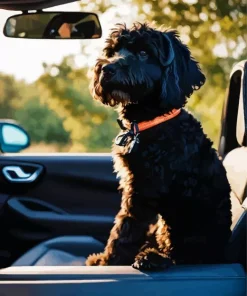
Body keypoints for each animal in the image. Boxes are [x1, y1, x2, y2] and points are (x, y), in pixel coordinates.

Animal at [85, 22, 232, 270]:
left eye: (144, 53)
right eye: (113, 51)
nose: (107, 69)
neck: (152, 121)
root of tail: (223, 254)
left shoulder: (145, 189)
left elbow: (124, 230)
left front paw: (109, 262)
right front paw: (101, 261)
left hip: (184, 231)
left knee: (181, 256)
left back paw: (151, 258)